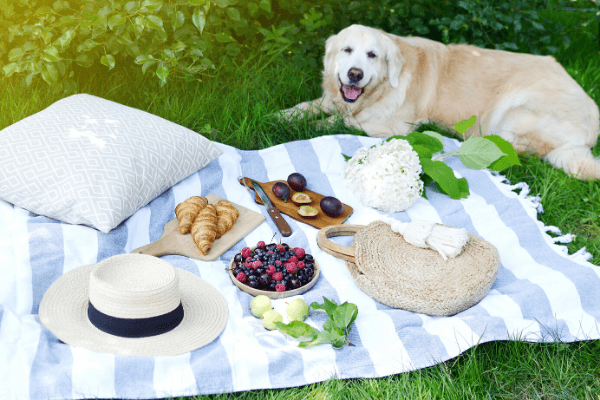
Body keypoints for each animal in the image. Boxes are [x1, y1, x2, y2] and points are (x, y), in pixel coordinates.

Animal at [278, 24, 600, 180]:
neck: (376, 92)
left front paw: (305, 127)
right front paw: (281, 115)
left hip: (509, 112)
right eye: (346, 50)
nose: (354, 75)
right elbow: (308, 107)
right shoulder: (335, 98)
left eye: (372, 55)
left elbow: (337, 122)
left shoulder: (391, 126)